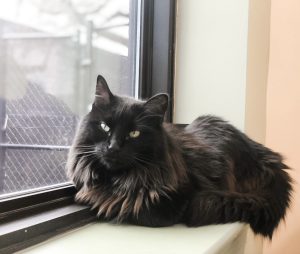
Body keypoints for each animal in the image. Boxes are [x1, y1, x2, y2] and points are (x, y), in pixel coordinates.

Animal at [67, 75, 292, 238]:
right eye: (105, 127)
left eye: (134, 133)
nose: (113, 147)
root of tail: (269, 157)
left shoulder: (176, 199)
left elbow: (130, 209)